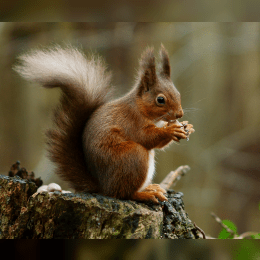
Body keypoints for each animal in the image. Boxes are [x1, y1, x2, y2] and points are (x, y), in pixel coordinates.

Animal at [13, 43, 193, 204]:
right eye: (160, 100)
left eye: (178, 93)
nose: (179, 114)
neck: (140, 108)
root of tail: (103, 187)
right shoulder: (131, 121)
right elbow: (147, 137)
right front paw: (171, 130)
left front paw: (187, 127)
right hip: (132, 157)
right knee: (123, 194)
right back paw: (144, 194)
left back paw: (150, 188)